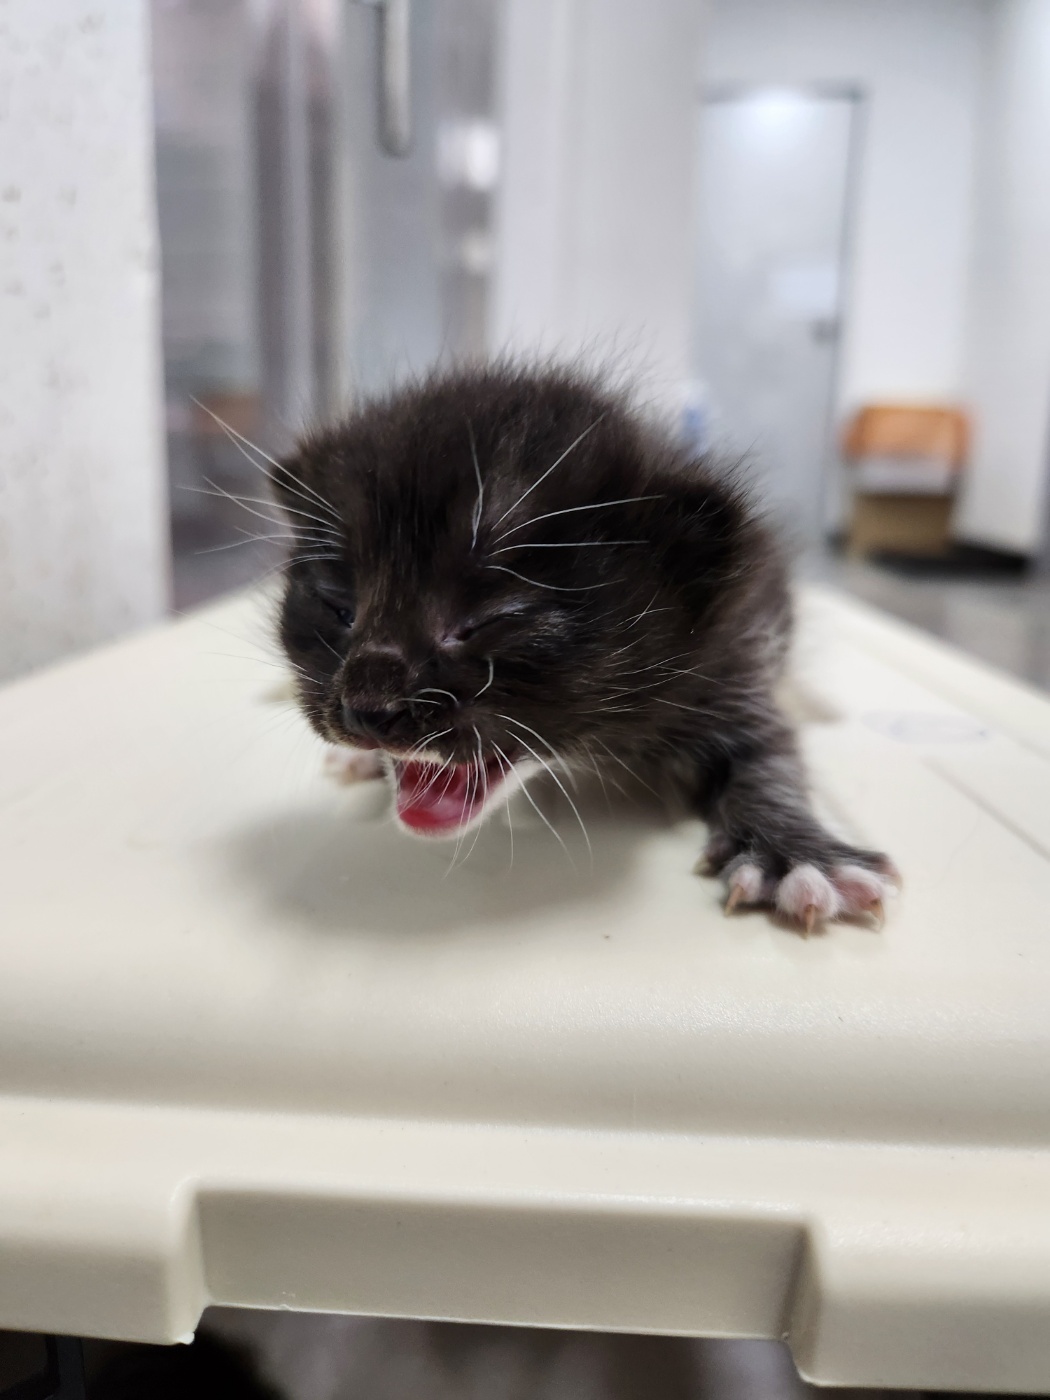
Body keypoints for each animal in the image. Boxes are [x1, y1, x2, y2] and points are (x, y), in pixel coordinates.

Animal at [275, 364, 901, 929]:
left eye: (488, 618)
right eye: (337, 605)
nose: (366, 710)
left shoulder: (734, 657)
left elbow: (767, 754)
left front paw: (794, 854)